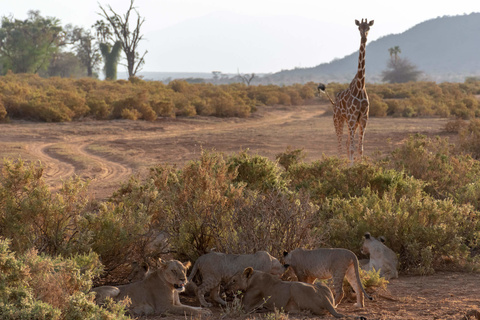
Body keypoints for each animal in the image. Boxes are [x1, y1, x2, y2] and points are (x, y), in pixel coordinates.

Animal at [227, 266, 366, 318]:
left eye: (233, 281)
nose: (224, 288)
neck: (252, 277)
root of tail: (325, 299)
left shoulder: (247, 305)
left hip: (295, 286)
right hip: (320, 285)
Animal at [318, 18, 376, 164]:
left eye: (368, 28)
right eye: (359, 28)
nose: (364, 37)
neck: (360, 86)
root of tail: (334, 102)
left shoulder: (363, 118)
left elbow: (360, 148)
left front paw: (361, 166)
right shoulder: (351, 117)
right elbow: (352, 148)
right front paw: (351, 167)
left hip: (352, 122)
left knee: (345, 143)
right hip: (338, 119)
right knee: (339, 144)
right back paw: (338, 164)